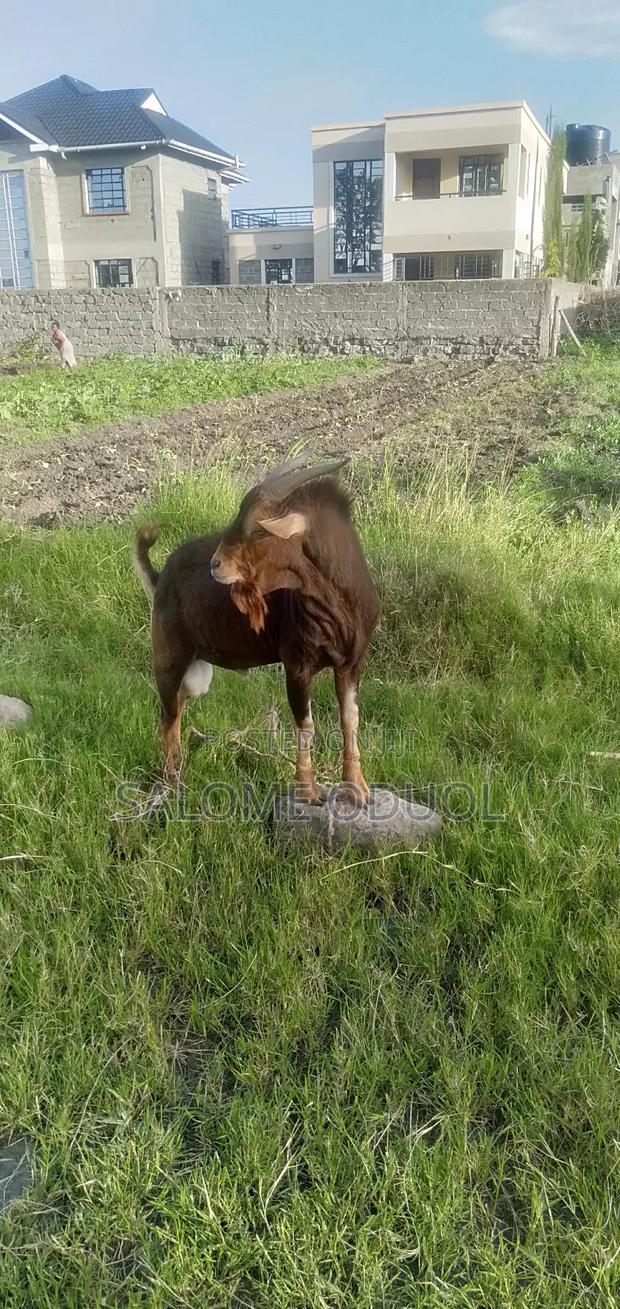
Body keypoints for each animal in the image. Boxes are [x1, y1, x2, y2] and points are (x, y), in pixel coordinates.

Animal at [133, 459, 380, 803]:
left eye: (260, 529)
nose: (216, 564)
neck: (339, 606)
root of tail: (160, 577)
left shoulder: (351, 663)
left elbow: (349, 719)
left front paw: (357, 787)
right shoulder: (297, 664)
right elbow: (305, 723)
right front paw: (307, 789)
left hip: (197, 673)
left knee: (178, 707)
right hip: (169, 655)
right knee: (167, 716)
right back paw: (172, 786)